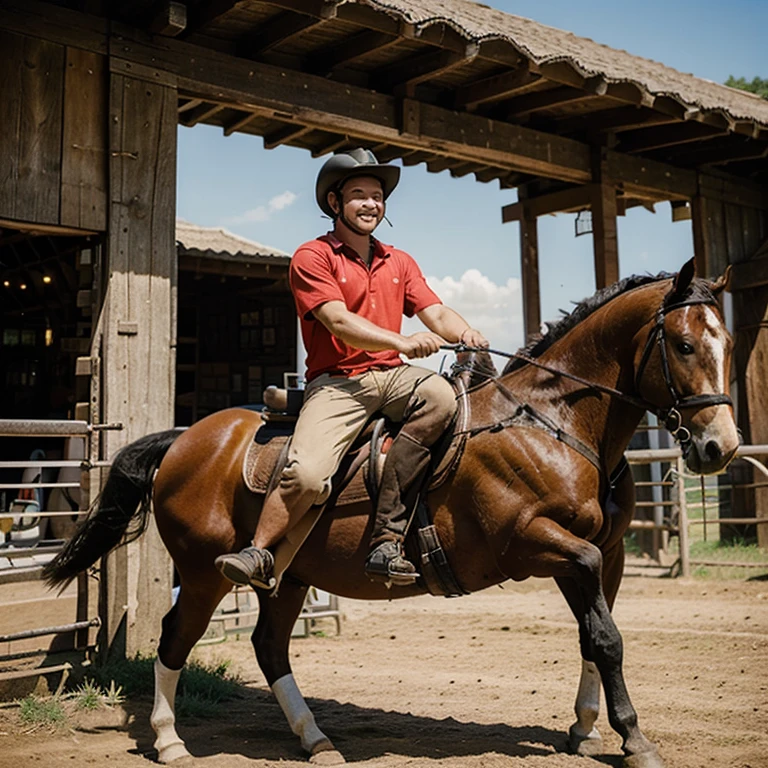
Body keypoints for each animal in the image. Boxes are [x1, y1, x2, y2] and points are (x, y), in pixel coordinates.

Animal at [42, 260, 736, 768]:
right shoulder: (537, 543)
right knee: (175, 639)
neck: (551, 423)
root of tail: (184, 438)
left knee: (269, 646)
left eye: (726, 342)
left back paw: (315, 739)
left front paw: (587, 728)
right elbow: (608, 637)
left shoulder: (599, 555)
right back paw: (169, 740)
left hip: (287, 577)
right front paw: (634, 740)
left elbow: (597, 635)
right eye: (682, 344)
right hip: (206, 572)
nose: (719, 448)